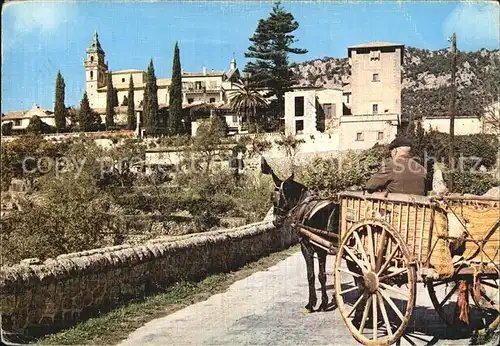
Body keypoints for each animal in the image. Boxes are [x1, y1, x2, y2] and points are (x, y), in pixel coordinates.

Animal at [262, 155, 340, 312]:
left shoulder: (307, 247)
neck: (303, 205)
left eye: (274, 199)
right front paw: (323, 303)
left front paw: (311, 304)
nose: (275, 222)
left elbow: (311, 275)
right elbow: (321, 275)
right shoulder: (321, 249)